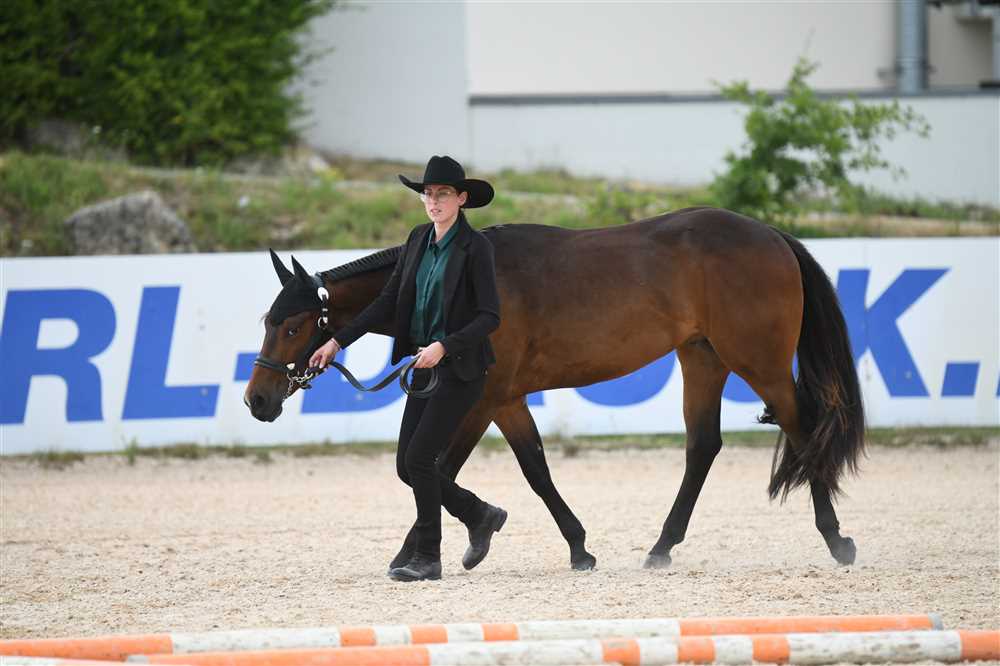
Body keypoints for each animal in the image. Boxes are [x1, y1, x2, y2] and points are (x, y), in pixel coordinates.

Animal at [245, 206, 865, 571]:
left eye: (294, 326)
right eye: (267, 320)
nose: (257, 399)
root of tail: (771, 235)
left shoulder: (483, 397)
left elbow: (446, 468)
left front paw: (493, 538)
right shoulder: (505, 400)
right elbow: (499, 469)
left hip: (759, 362)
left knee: (803, 429)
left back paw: (837, 539)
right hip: (702, 357)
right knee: (702, 447)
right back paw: (662, 546)